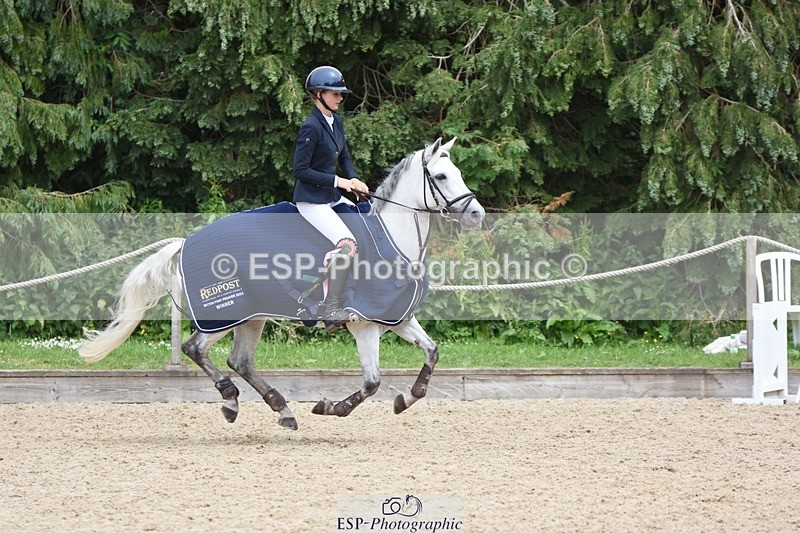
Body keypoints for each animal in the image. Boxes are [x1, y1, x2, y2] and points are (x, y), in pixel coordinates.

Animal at [78, 137, 485, 430]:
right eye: (442, 176)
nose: (477, 214)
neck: (393, 238)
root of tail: (185, 243)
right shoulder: (363, 324)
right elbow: (372, 382)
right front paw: (331, 407)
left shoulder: (396, 318)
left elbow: (432, 353)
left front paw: (405, 399)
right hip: (224, 312)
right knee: (195, 348)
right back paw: (231, 398)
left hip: (251, 314)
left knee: (239, 360)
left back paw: (280, 408)